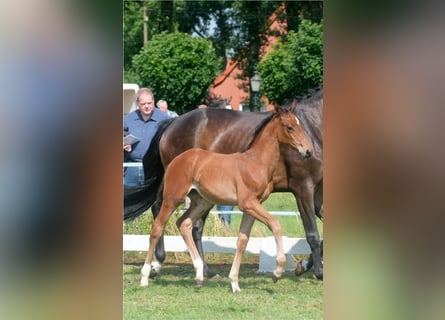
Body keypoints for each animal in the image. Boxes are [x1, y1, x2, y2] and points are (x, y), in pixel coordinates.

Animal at [125, 87, 322, 278]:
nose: (308, 151)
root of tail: (172, 123)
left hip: (201, 196)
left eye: (300, 126)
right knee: (163, 214)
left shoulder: (317, 191)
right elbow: (311, 232)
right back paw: (160, 265)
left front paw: (305, 266)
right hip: (179, 189)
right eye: (289, 127)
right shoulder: (302, 188)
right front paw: (315, 271)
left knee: (190, 224)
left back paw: (198, 269)